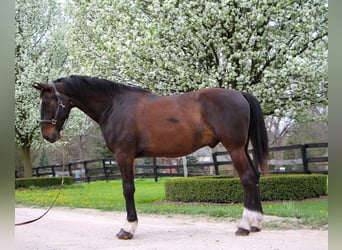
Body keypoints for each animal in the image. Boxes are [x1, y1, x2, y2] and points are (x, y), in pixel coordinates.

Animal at [33, 75, 268, 238]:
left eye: (48, 102)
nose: (47, 135)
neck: (114, 105)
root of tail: (240, 94)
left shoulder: (124, 155)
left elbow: (128, 189)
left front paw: (128, 228)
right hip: (242, 148)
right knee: (255, 176)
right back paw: (256, 223)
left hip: (234, 148)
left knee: (247, 178)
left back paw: (244, 226)